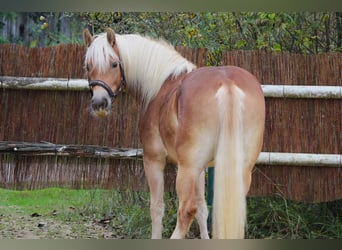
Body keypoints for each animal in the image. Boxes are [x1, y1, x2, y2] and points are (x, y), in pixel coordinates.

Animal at [82, 27, 264, 238]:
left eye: (114, 64)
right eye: (88, 66)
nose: (99, 103)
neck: (162, 85)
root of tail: (226, 83)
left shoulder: (154, 161)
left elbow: (157, 208)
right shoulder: (201, 168)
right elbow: (203, 209)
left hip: (187, 169)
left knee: (186, 210)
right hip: (238, 169)